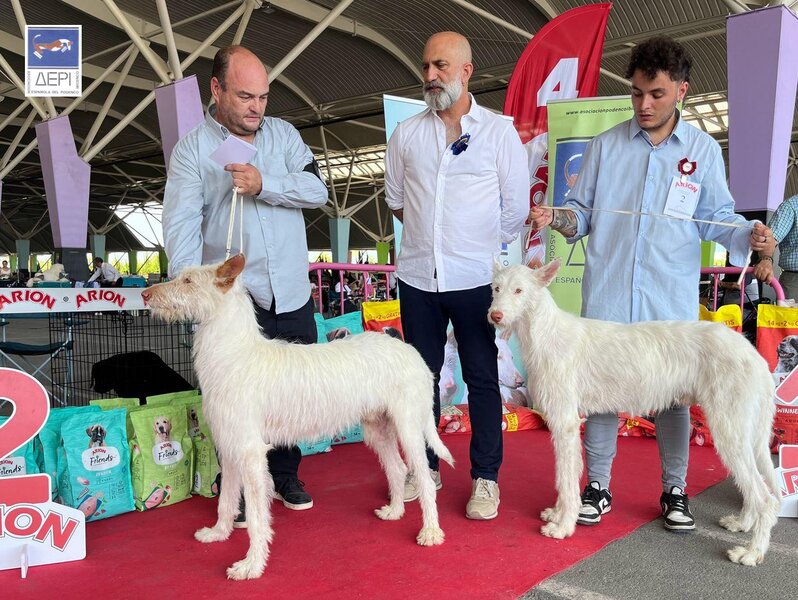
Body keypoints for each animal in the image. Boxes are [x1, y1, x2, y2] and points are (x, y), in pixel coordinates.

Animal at [141, 255, 453, 580]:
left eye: (189, 281)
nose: (145, 295)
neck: (234, 352)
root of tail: (409, 350)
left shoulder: (250, 453)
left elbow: (256, 518)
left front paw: (251, 565)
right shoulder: (229, 448)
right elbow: (226, 500)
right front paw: (218, 533)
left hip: (409, 427)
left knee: (423, 478)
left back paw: (431, 531)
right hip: (378, 427)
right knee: (396, 468)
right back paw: (394, 512)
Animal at [488, 260, 780, 566]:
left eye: (519, 290)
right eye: (496, 288)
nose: (495, 316)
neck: (545, 332)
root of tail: (754, 354)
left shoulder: (565, 422)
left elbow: (566, 479)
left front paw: (563, 526)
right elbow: (564, 474)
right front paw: (557, 514)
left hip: (728, 429)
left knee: (765, 497)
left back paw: (752, 552)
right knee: (754, 486)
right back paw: (742, 523)